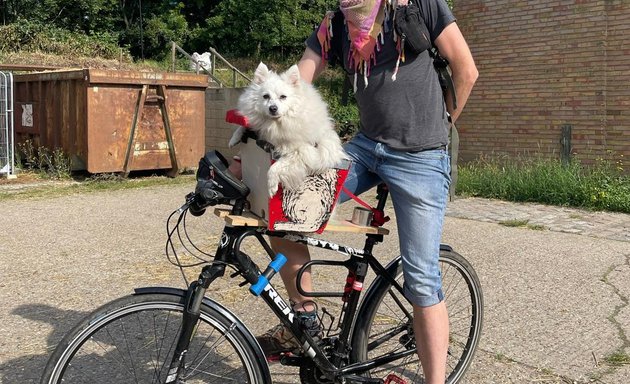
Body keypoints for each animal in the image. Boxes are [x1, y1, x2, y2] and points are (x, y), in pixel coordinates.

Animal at [232, 62, 348, 196]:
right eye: (266, 96)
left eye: (283, 97)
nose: (273, 108)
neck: (278, 123)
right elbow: (244, 126)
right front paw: (234, 139)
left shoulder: (301, 151)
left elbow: (276, 166)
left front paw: (271, 185)